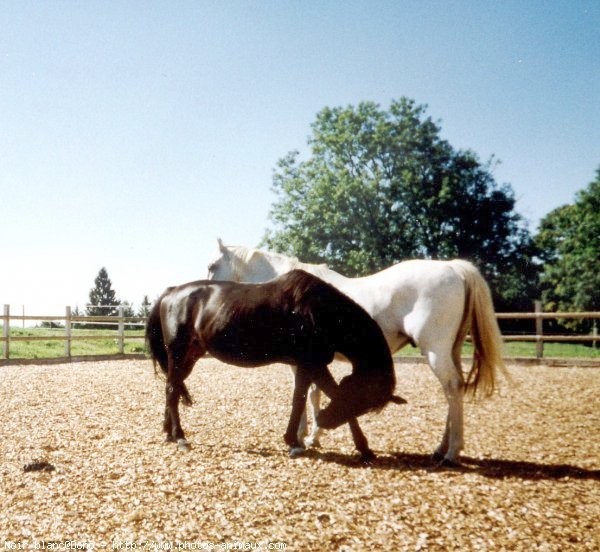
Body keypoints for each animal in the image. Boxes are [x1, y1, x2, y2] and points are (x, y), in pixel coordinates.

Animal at [146, 270, 404, 460]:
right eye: (360, 396)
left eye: (366, 405)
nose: (325, 421)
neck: (318, 312)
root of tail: (171, 292)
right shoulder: (311, 364)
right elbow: (305, 399)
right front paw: (295, 442)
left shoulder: (312, 366)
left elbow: (315, 395)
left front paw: (361, 447)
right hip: (178, 353)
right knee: (172, 389)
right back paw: (180, 437)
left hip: (190, 356)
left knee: (172, 388)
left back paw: (168, 432)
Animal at [209, 239, 504, 464]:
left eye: (212, 266)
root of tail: (453, 267)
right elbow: (315, 393)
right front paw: (313, 436)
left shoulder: (300, 361)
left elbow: (303, 395)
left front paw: (301, 439)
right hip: (451, 350)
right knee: (455, 390)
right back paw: (441, 448)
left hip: (435, 350)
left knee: (452, 388)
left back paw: (452, 452)